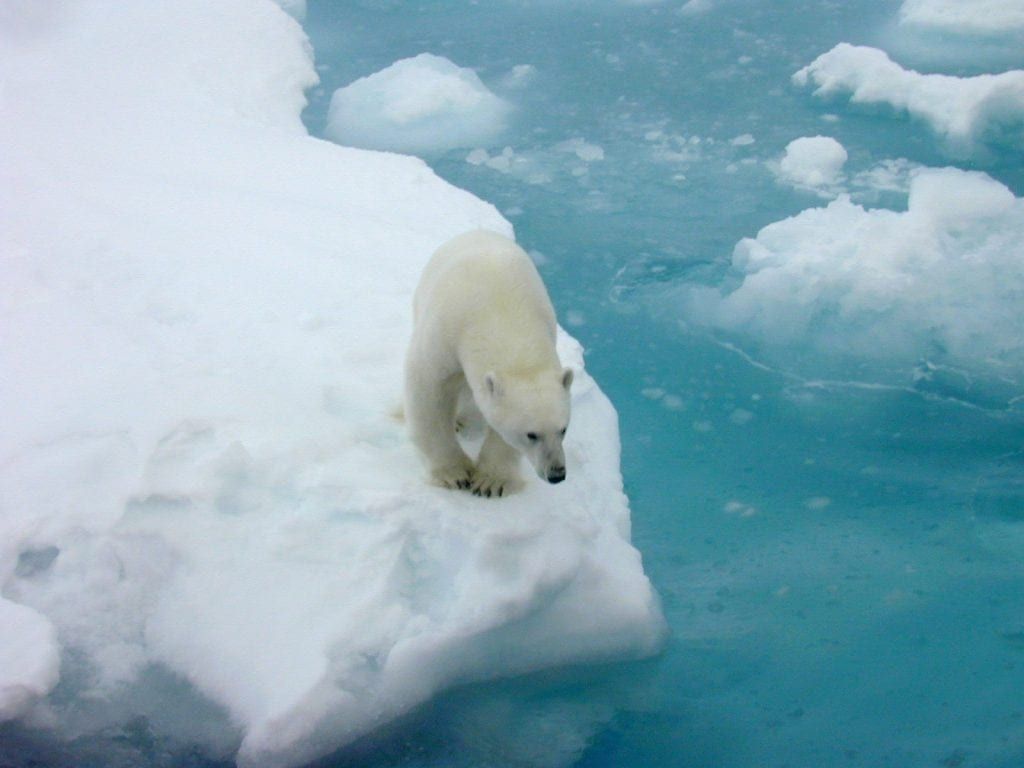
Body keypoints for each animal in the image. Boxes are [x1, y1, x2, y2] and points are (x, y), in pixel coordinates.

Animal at [403, 228, 573, 499]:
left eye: (563, 429)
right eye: (531, 434)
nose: (557, 474)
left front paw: (491, 481)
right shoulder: (446, 331)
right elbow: (429, 389)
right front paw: (454, 474)